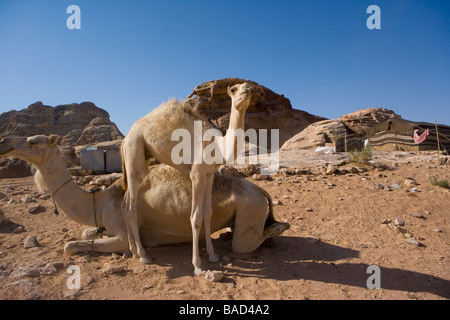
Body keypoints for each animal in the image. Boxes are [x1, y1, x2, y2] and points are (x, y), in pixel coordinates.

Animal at [0, 135, 288, 258]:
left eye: (33, 141)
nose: (6, 143)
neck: (100, 201)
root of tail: (260, 190)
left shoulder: (123, 233)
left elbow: (70, 245)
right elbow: (85, 233)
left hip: (251, 207)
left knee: (247, 243)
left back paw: (278, 229)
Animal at [121, 81, 256, 274]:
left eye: (250, 87)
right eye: (233, 89)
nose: (247, 90)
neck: (218, 147)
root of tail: (125, 138)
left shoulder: (209, 174)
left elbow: (208, 212)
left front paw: (213, 256)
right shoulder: (197, 175)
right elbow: (195, 217)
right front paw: (198, 266)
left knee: (125, 206)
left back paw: (133, 251)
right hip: (135, 152)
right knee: (131, 208)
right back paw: (143, 255)